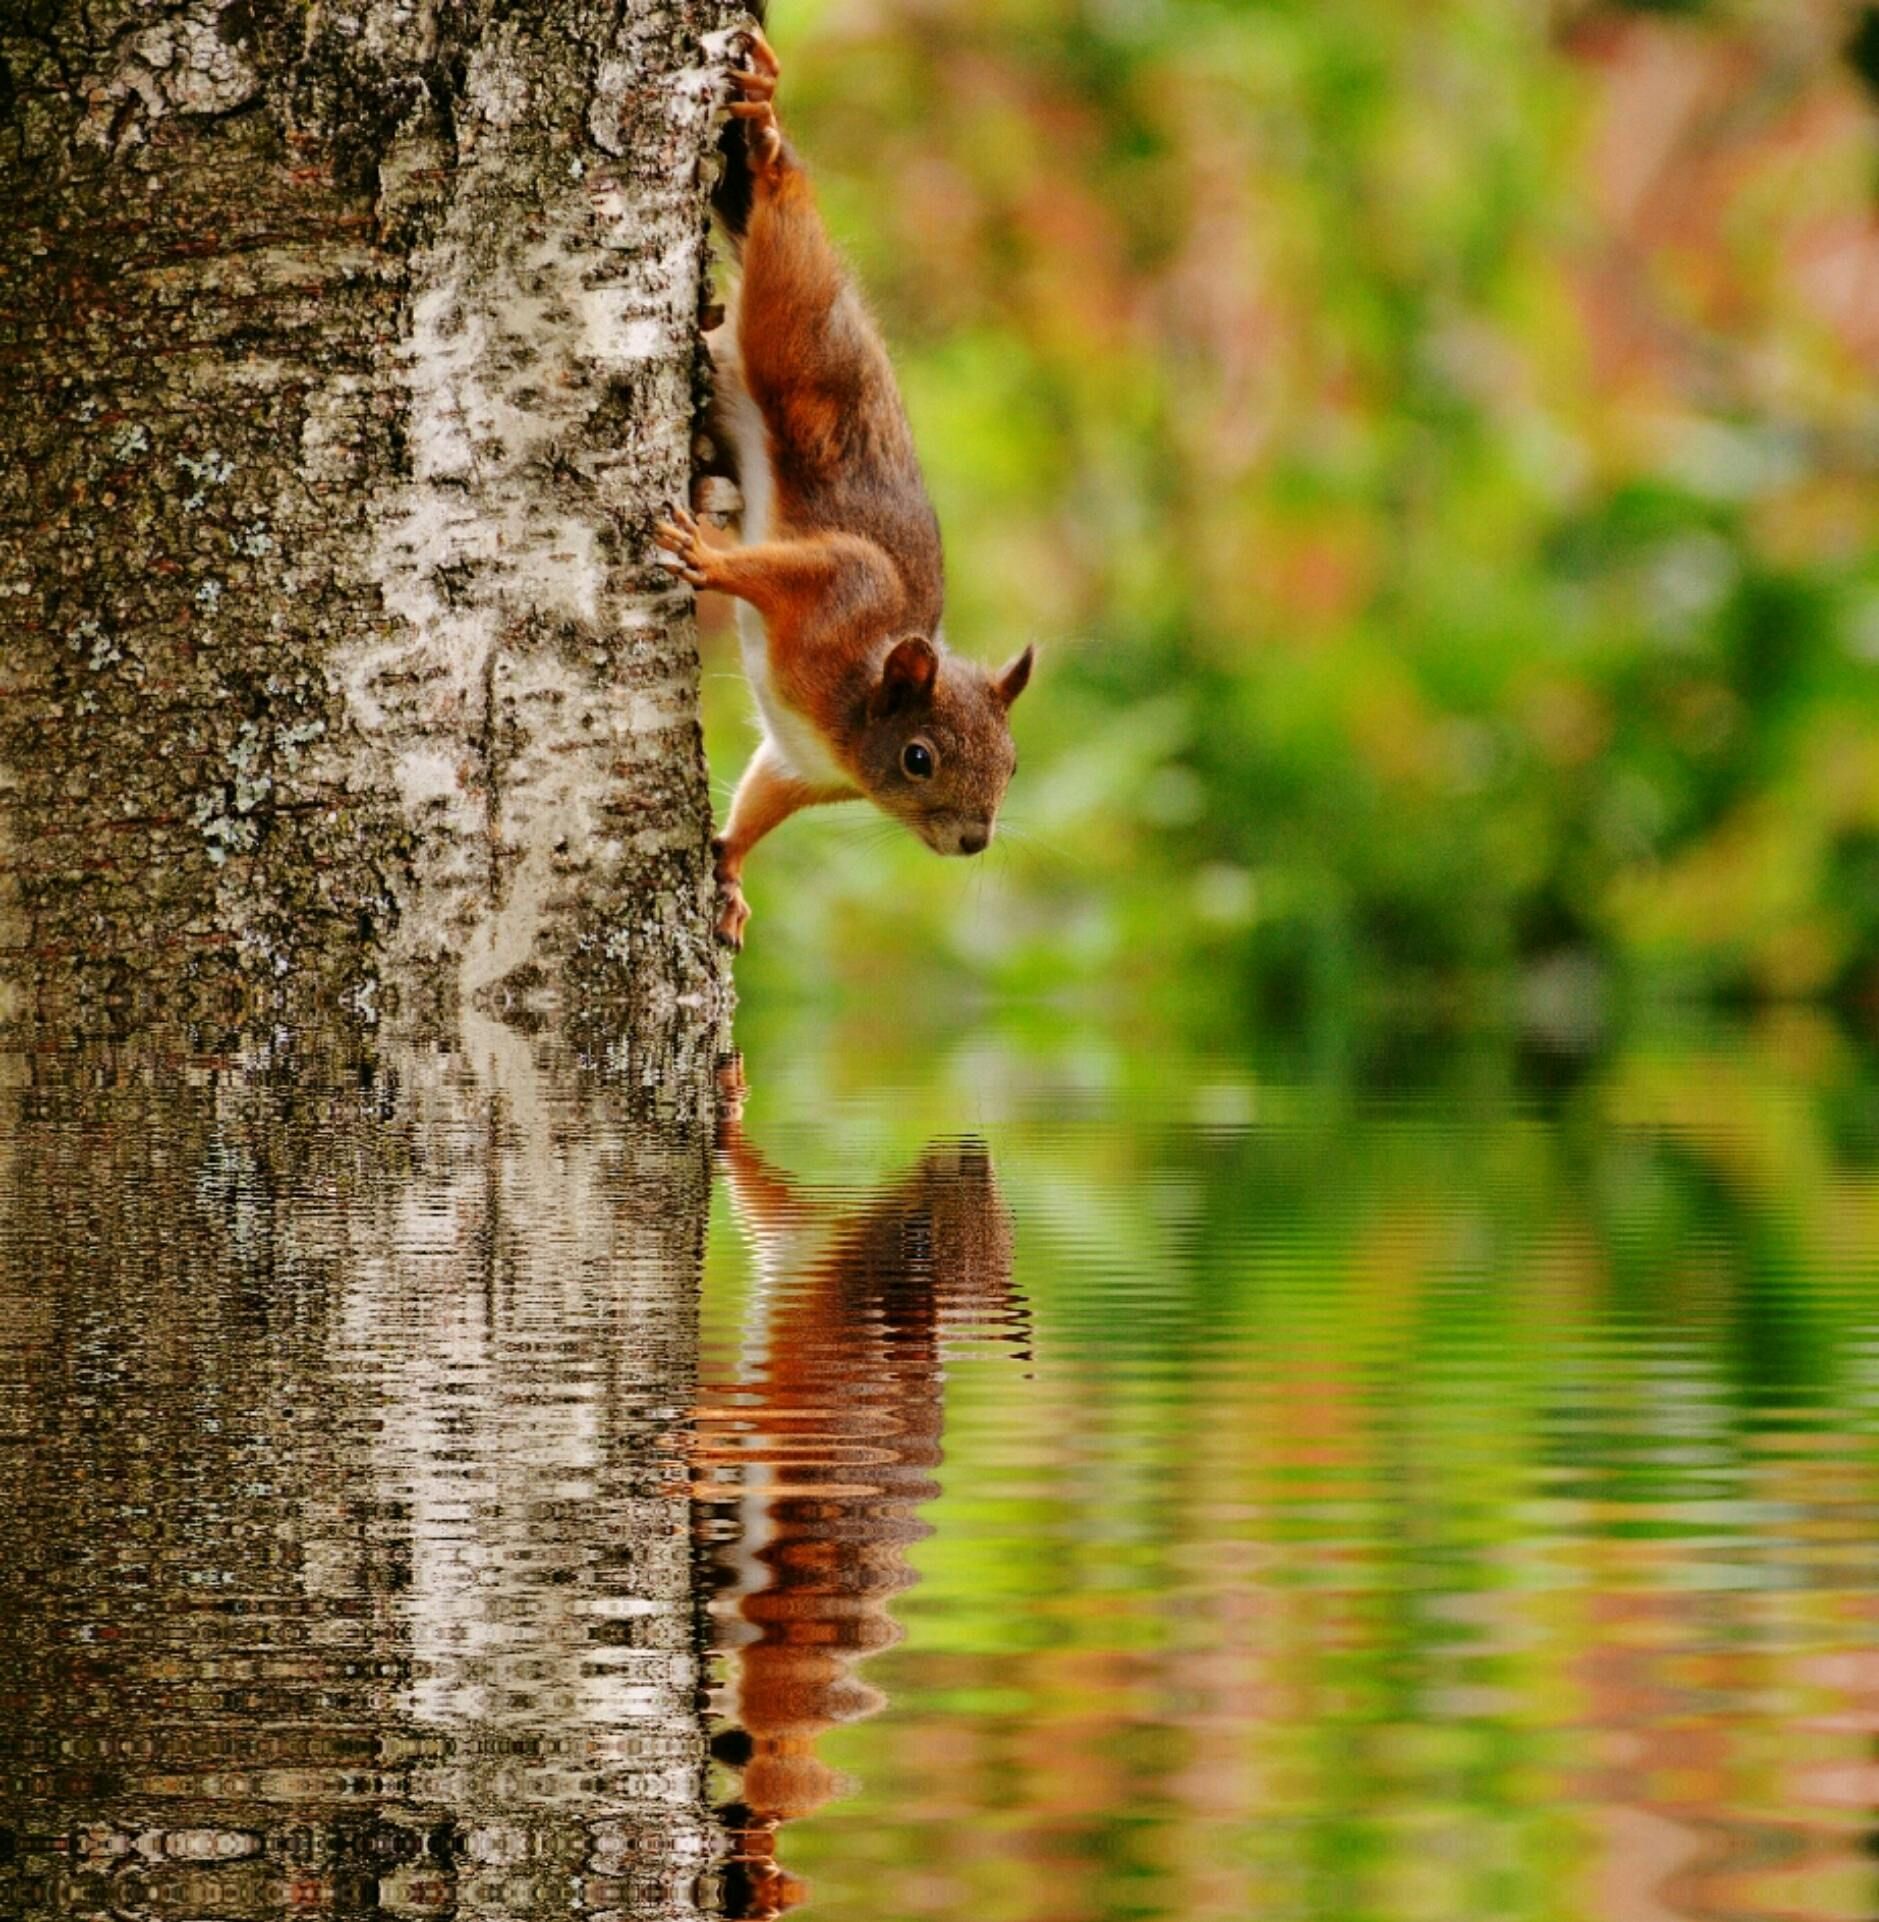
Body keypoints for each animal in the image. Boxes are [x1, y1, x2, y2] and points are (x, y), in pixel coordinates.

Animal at [656, 22, 1034, 952]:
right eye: (918, 757)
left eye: (1012, 762)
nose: (973, 842)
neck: (852, 711)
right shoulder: (843, 589)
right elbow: (807, 564)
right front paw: (709, 562)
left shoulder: (800, 765)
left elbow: (758, 804)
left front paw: (729, 875)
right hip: (794, 330)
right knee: (784, 220)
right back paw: (766, 135)